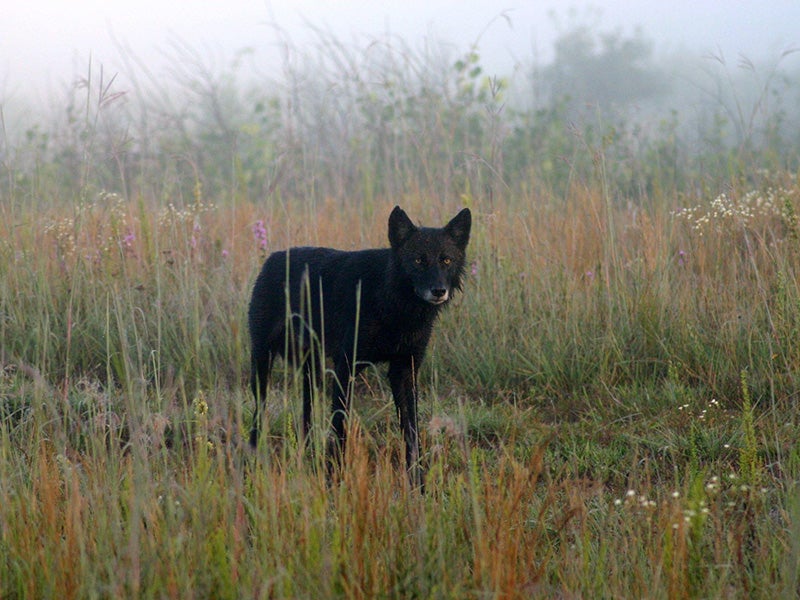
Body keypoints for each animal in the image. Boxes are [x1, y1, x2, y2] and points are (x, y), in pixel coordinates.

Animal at [248, 204, 468, 486]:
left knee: (307, 416)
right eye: (419, 260)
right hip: (262, 366)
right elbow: (340, 428)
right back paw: (254, 462)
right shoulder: (346, 369)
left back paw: (307, 458)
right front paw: (336, 482)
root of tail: (272, 258)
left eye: (446, 260)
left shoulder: (404, 371)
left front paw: (417, 484)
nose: (438, 291)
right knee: (259, 414)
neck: (389, 299)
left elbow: (412, 432)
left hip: (312, 372)